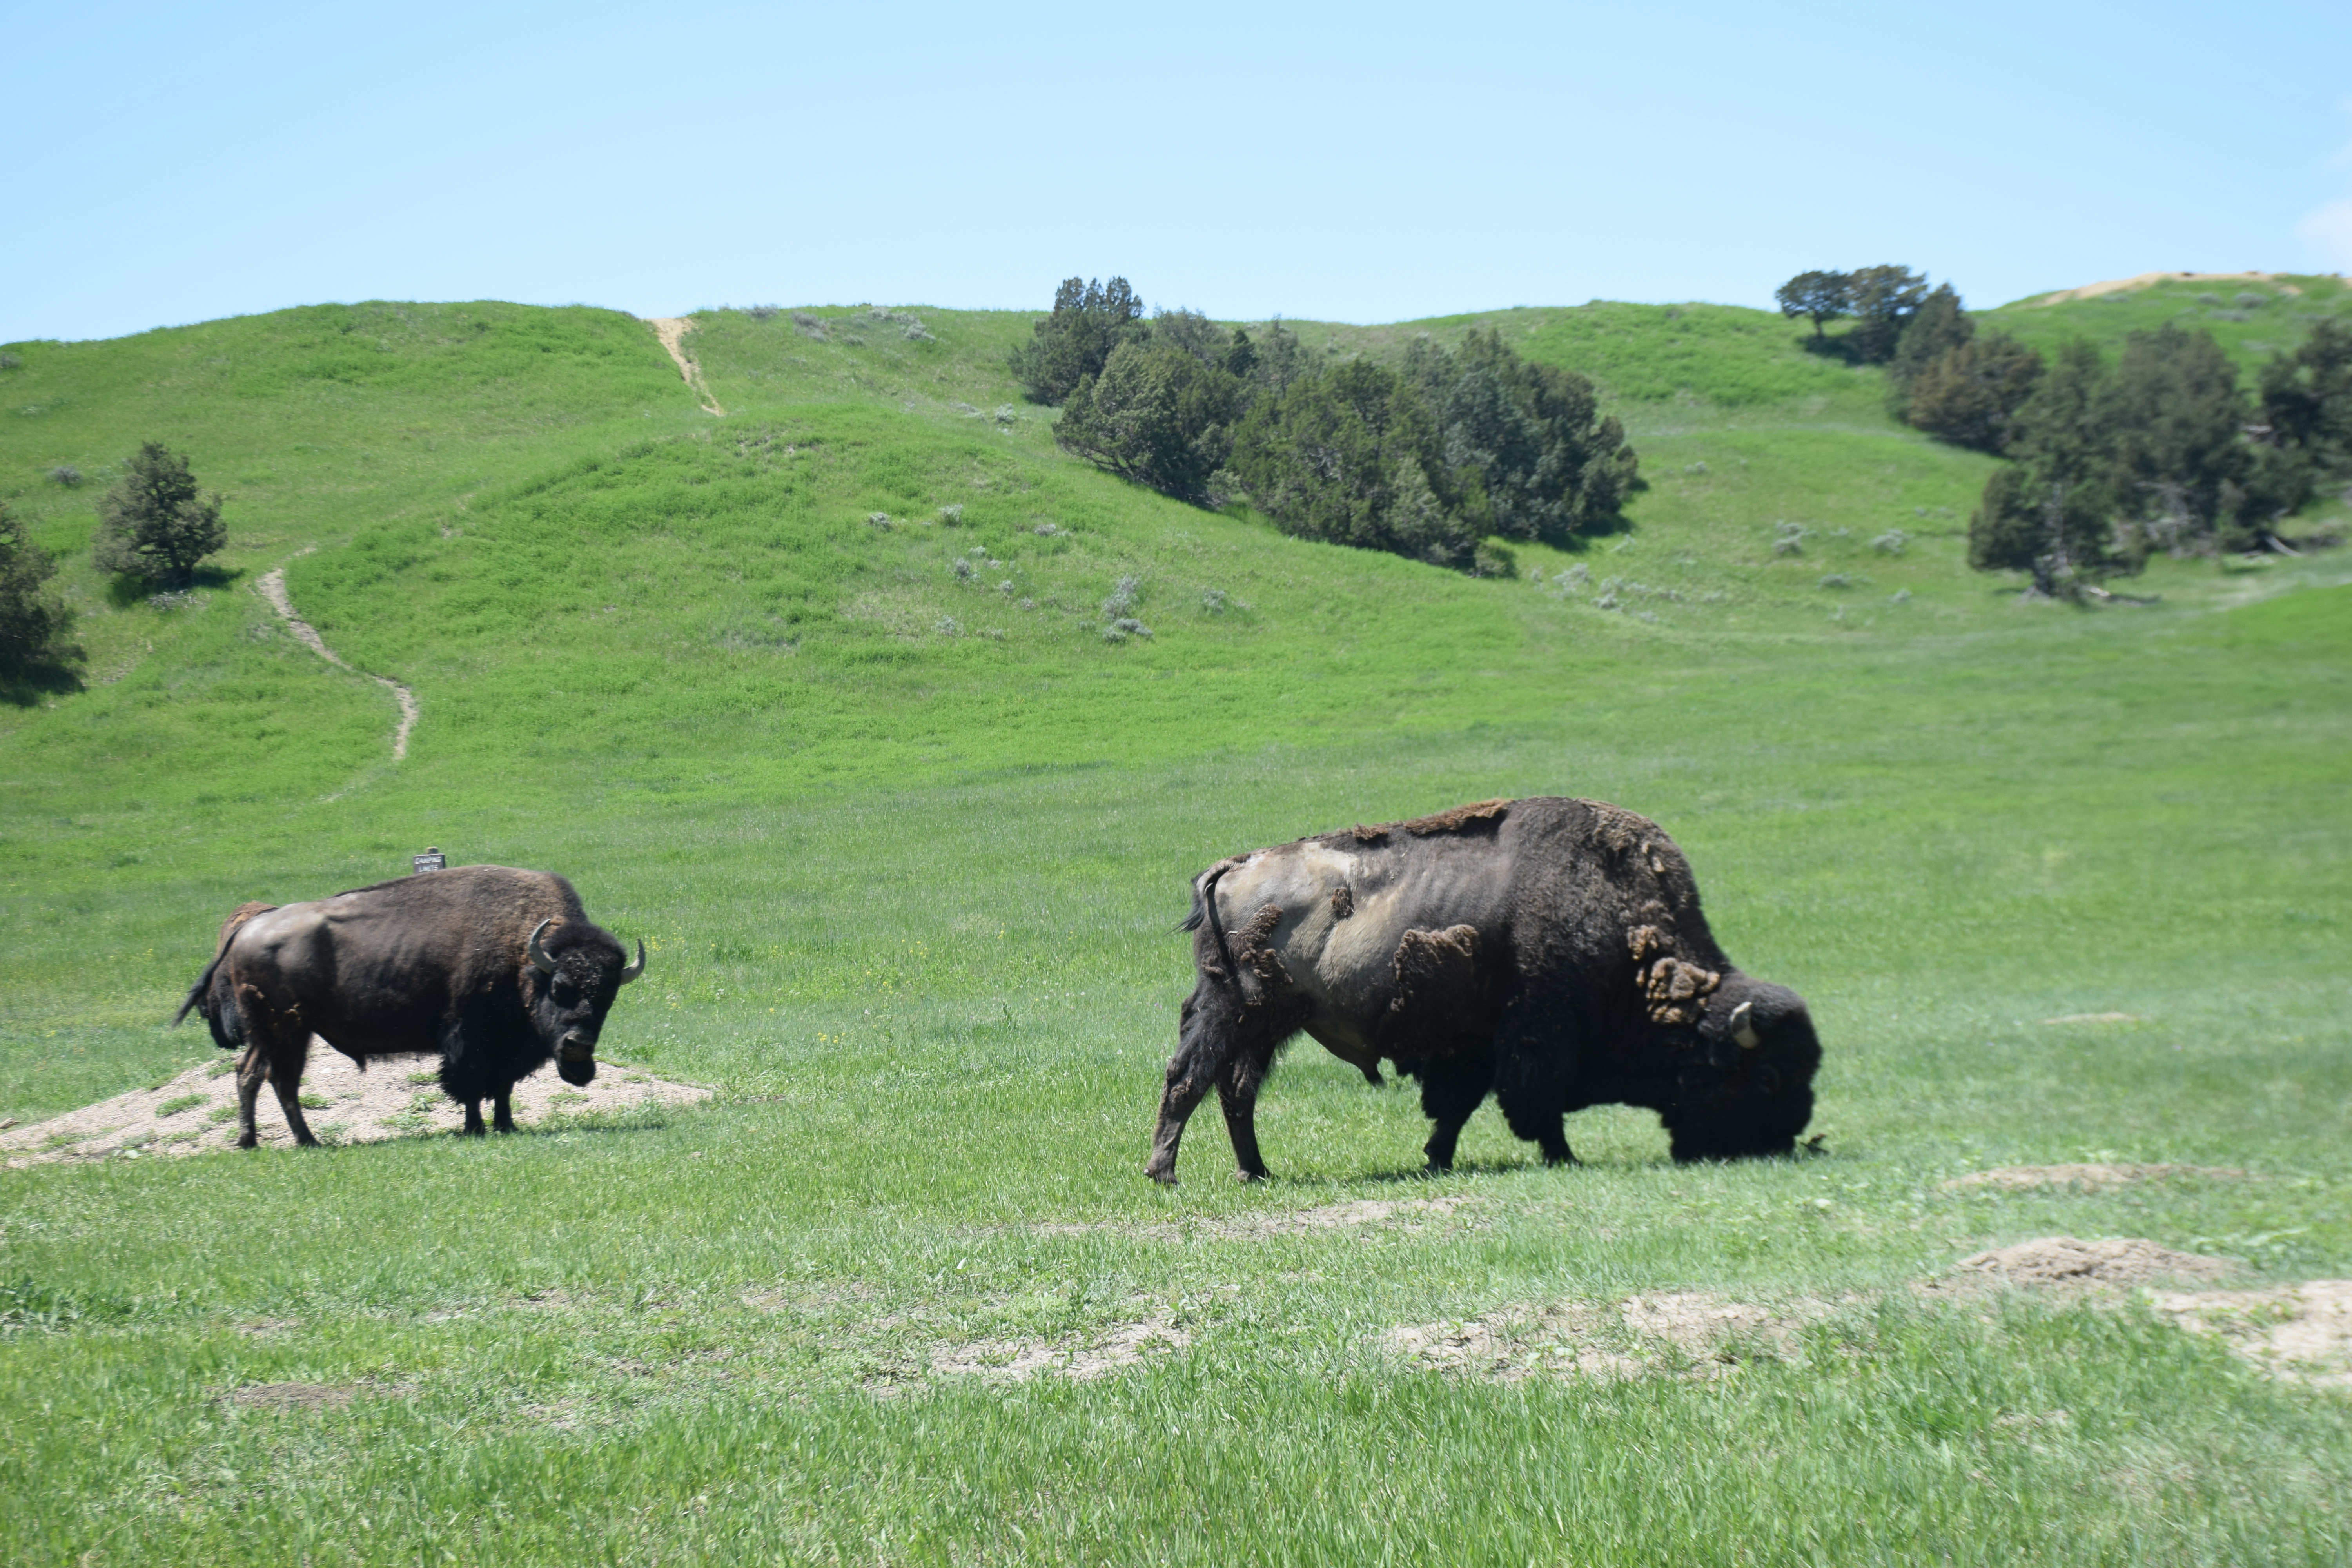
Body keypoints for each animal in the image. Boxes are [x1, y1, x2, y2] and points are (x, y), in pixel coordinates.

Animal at [176, 865, 645, 1147]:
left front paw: (507, 1126)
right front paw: (475, 1129)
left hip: (288, 1034)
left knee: (266, 1077)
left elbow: (503, 1088)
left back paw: (282, 1140)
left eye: (608, 998)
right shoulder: (469, 1040)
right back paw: (278, 1141)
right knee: (266, 1077)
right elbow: (471, 1085)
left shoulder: (507, 1050)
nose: (578, 1047)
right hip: (283, 1032)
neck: (525, 958)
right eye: (561, 987)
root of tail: (247, 929)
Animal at [1146, 796, 1820, 1183]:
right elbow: (1534, 1102)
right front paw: (1563, 1157)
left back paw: (1255, 1173)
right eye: (1766, 1077)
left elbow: (1459, 1105)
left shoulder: (1473, 1047)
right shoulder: (1537, 1037)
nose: (1787, 1140)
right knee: (1189, 1077)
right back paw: (1166, 1173)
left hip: (1268, 1024)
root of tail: (1231, 868)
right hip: (1232, 1011)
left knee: (1236, 1090)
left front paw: (1436, 1159)